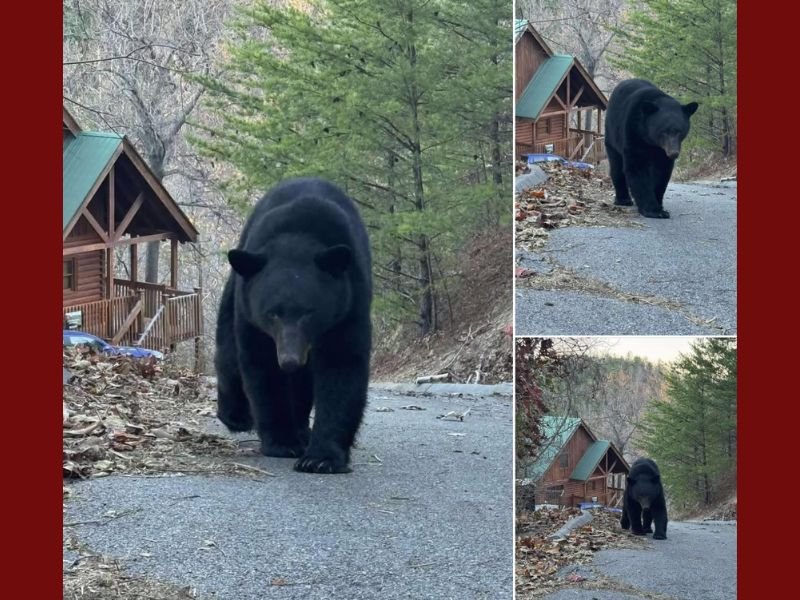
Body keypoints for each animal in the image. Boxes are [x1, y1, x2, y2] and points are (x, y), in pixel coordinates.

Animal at [215, 177, 372, 474]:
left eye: (309, 312)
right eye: (272, 313)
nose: (289, 360)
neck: (298, 238)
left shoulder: (349, 303)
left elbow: (342, 365)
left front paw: (321, 457)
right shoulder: (252, 317)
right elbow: (261, 368)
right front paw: (282, 443)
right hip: (236, 289)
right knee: (227, 347)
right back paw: (235, 414)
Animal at [604, 79, 698, 219]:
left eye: (680, 131)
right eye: (664, 131)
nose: (673, 153)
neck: (652, 141)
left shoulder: (662, 152)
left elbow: (662, 172)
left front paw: (659, 205)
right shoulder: (633, 133)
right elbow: (638, 168)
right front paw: (653, 210)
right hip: (611, 137)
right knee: (617, 168)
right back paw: (623, 200)